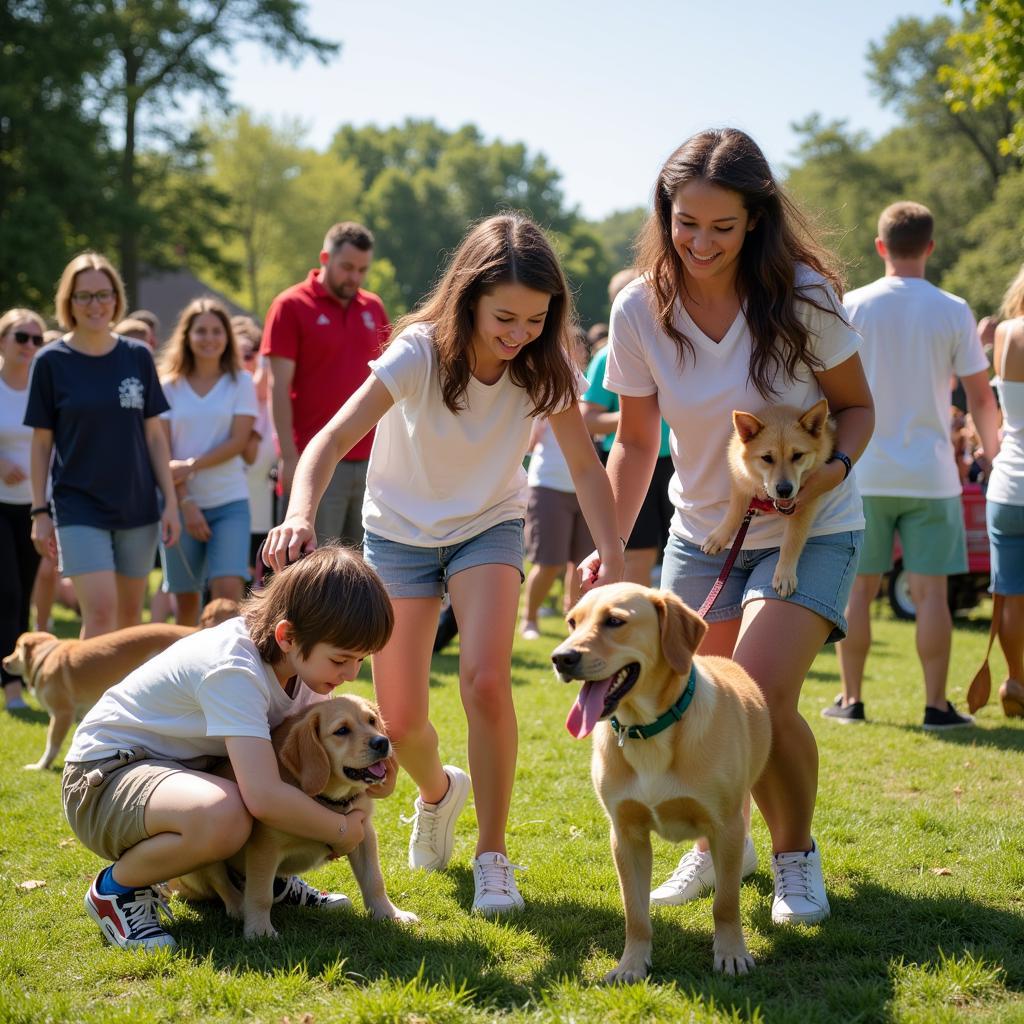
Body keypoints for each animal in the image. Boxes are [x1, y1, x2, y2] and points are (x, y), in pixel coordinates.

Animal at [4, 598, 239, 770]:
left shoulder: (62, 714)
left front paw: (40, 766)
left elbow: (51, 745)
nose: (4, 661)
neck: (46, 656)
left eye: (16, 648)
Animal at [552, 585, 770, 974]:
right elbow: (635, 912)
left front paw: (731, 952)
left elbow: (726, 903)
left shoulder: (725, 826)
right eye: (572, 622)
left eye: (614, 621)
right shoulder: (626, 835)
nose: (560, 658)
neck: (647, 731)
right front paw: (631, 964)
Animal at [704, 395, 839, 598]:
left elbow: (792, 541)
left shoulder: (807, 502)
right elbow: (734, 513)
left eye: (798, 455)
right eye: (767, 458)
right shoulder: (740, 481)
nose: (784, 489)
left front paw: (784, 575)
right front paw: (718, 536)